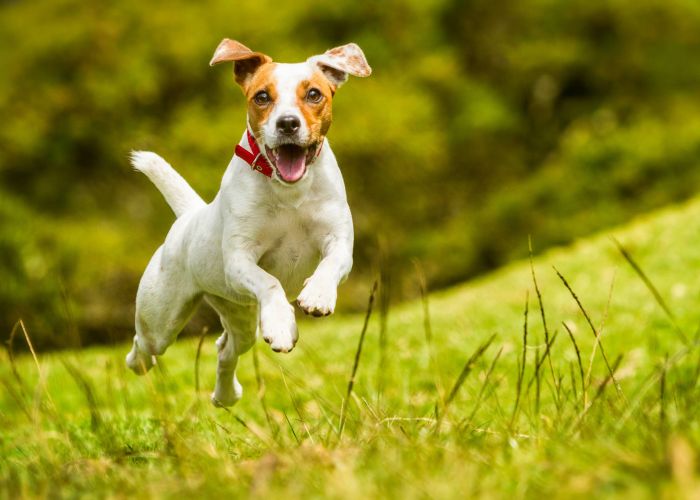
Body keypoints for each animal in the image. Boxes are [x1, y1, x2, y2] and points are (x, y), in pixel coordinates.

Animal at [124, 38, 372, 406]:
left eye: (314, 94)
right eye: (262, 97)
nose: (287, 123)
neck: (288, 192)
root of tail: (189, 216)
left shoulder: (338, 241)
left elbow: (330, 264)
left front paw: (317, 296)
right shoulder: (240, 260)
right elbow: (269, 282)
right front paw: (282, 323)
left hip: (239, 314)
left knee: (225, 348)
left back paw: (226, 395)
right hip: (161, 317)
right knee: (144, 345)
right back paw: (140, 362)